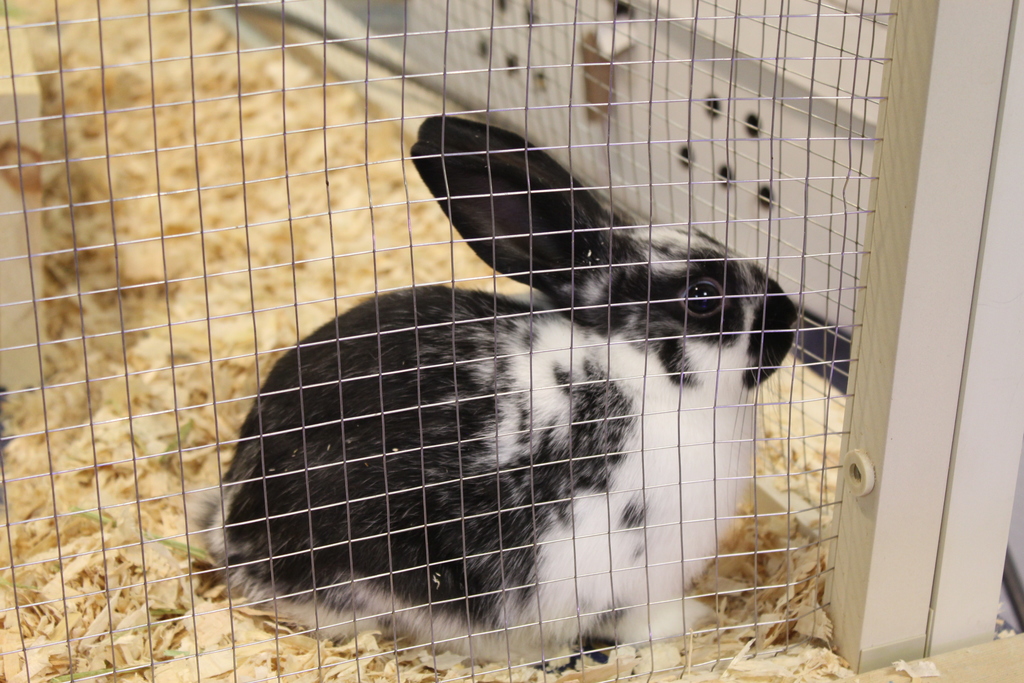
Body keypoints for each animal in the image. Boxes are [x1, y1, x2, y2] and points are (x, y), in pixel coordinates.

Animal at [192, 115, 797, 663]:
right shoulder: (624, 571)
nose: (788, 319)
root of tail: (230, 527)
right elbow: (637, 616)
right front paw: (687, 620)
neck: (637, 372)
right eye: (704, 295)